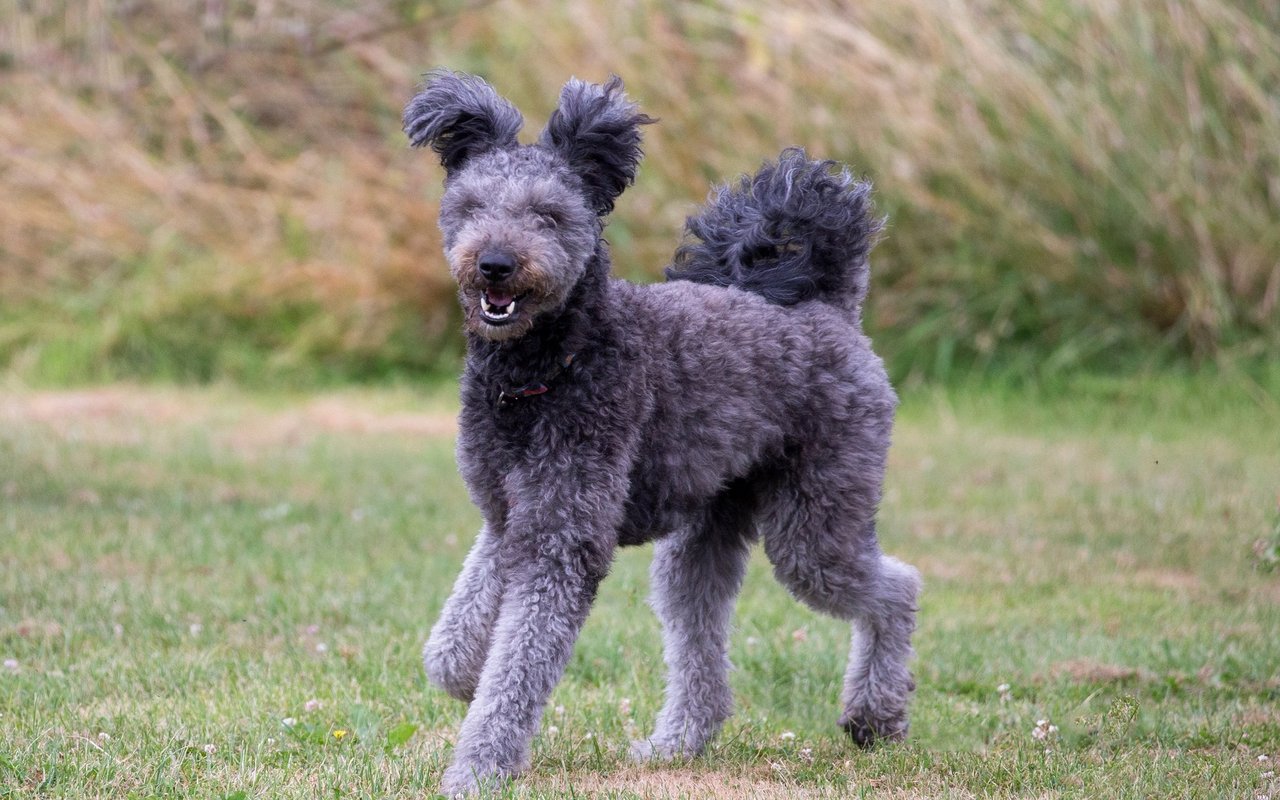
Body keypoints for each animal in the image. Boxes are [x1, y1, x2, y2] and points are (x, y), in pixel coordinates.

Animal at [404, 71, 916, 793]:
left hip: (814, 525)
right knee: (702, 647)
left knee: (897, 588)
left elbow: (517, 671)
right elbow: (452, 642)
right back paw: (677, 744)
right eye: (470, 206)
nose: (495, 263)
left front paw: (478, 769)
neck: (552, 367)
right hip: (703, 540)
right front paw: (464, 676)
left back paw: (876, 714)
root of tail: (829, 310)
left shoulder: (562, 539)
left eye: (548, 215)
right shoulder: (510, 518)